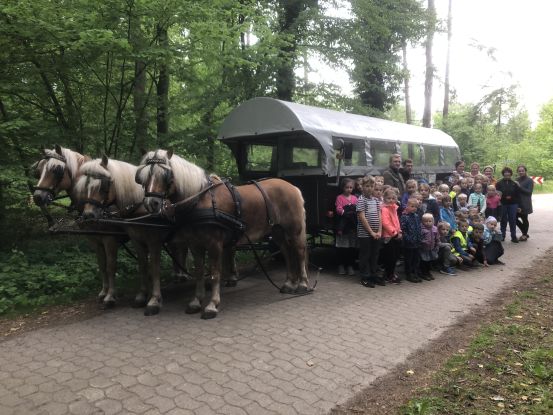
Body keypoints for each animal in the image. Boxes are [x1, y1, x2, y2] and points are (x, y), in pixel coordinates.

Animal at [135, 151, 308, 320]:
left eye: (166, 174)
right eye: (144, 176)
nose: (151, 203)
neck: (201, 200)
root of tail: (293, 187)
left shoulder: (214, 244)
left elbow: (215, 273)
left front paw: (212, 305)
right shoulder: (195, 244)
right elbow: (199, 272)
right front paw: (196, 302)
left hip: (294, 229)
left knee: (299, 252)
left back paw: (303, 285)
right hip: (277, 231)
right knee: (286, 251)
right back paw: (289, 284)